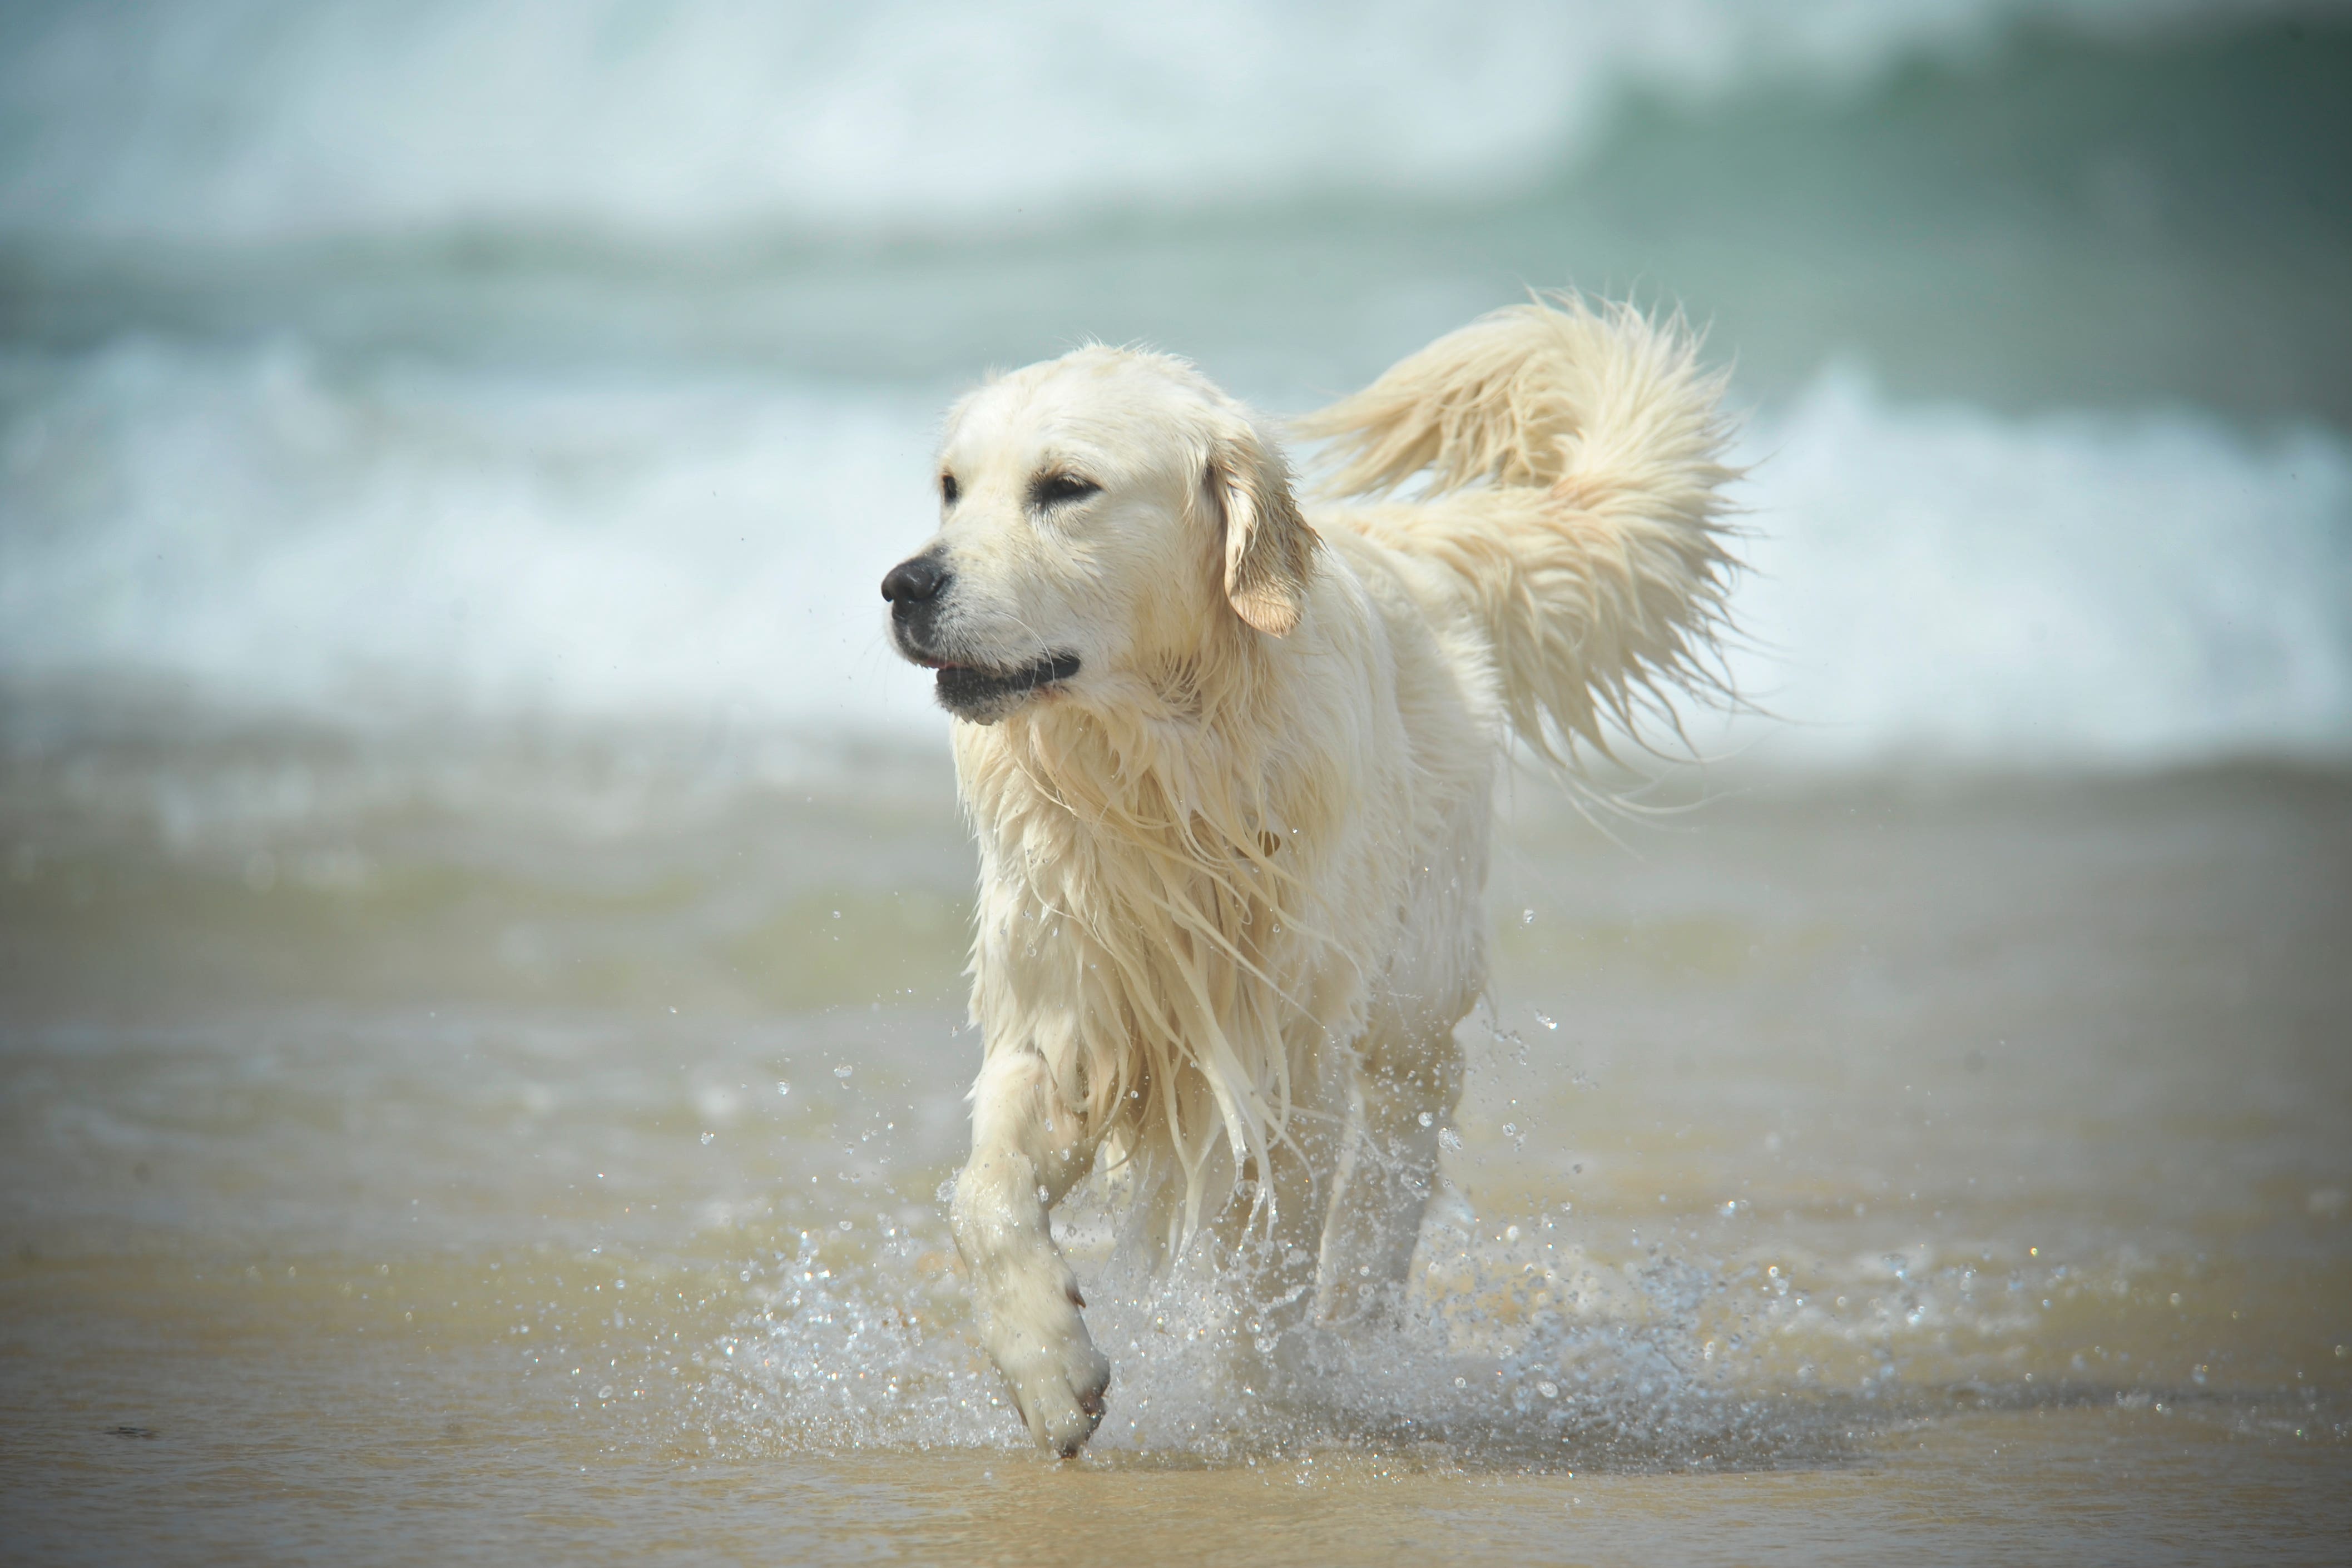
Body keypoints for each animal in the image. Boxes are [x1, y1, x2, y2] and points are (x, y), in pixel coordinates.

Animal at [889, 297, 1740, 1457]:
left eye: (1064, 487)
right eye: (949, 486)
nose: (903, 584)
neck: (1158, 777)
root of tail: (1403, 541)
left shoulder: (1286, 1052)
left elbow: (1271, 1265)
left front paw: (1267, 1405)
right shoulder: (1066, 1013)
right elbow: (980, 1198)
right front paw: (1049, 1370)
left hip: (1412, 979)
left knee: (1406, 1131)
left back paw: (1354, 1320)